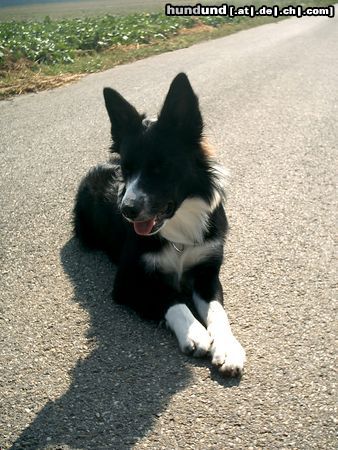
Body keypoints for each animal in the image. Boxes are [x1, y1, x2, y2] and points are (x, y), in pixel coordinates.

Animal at [73, 73, 246, 376]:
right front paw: (194, 332)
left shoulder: (207, 272)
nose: (127, 210)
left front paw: (227, 347)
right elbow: (170, 297)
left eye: (161, 167)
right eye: (126, 169)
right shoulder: (126, 282)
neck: (177, 226)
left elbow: (218, 311)